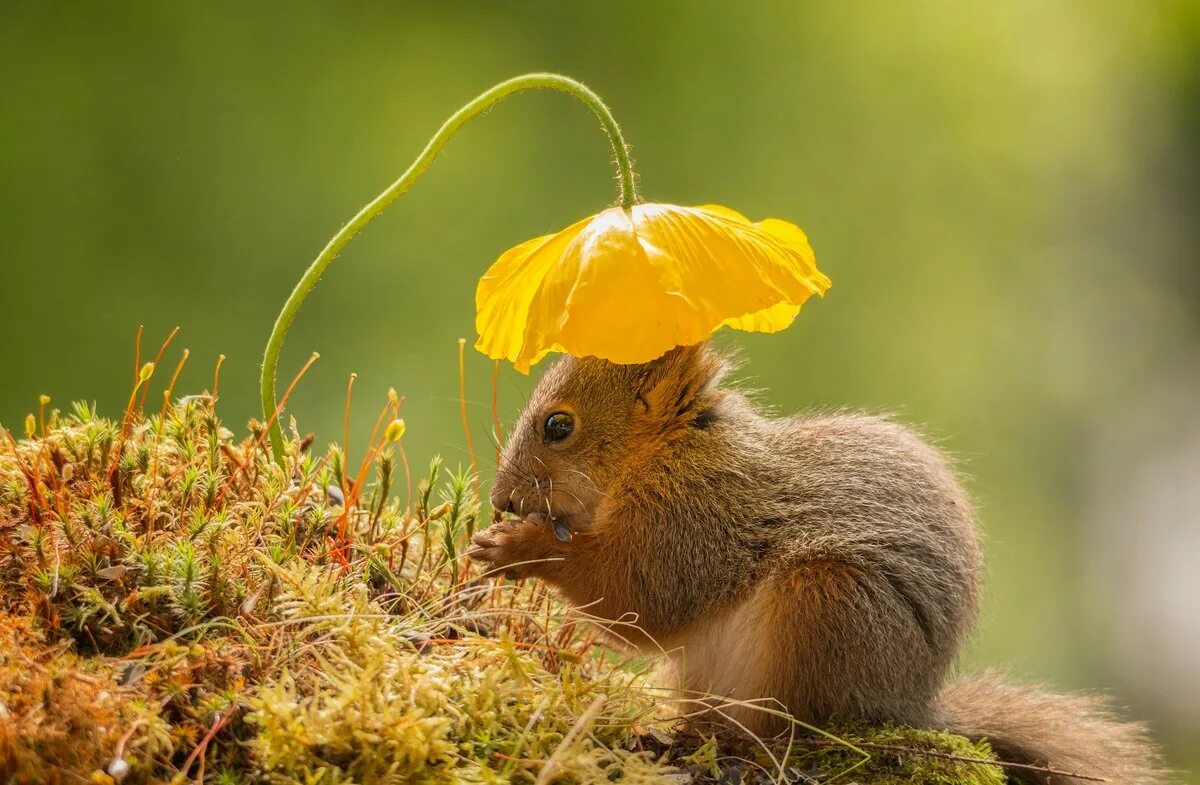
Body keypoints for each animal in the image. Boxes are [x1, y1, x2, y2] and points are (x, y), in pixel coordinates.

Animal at [468, 345, 1161, 785]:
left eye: (559, 426)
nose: (503, 499)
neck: (669, 450)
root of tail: (909, 705)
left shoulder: (700, 518)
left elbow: (641, 595)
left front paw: (519, 547)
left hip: (828, 607)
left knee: (802, 729)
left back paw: (751, 743)